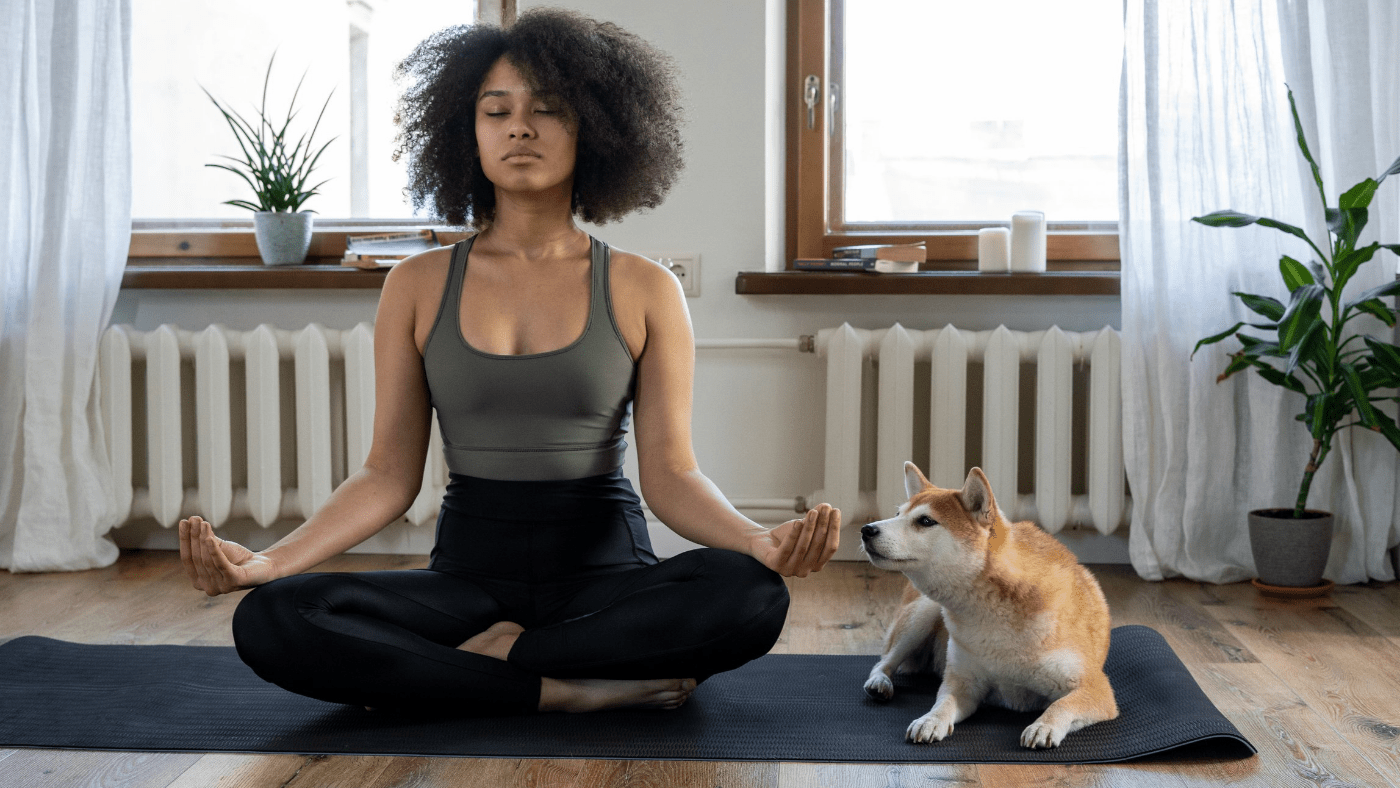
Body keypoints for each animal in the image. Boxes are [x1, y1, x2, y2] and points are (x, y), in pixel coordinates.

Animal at [851, 464, 1114, 750]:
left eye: (925, 521)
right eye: (898, 514)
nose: (866, 529)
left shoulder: (1096, 688)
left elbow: (1060, 705)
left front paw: (1043, 726)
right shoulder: (963, 683)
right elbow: (943, 703)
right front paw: (930, 720)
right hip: (922, 614)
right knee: (884, 661)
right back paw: (879, 682)